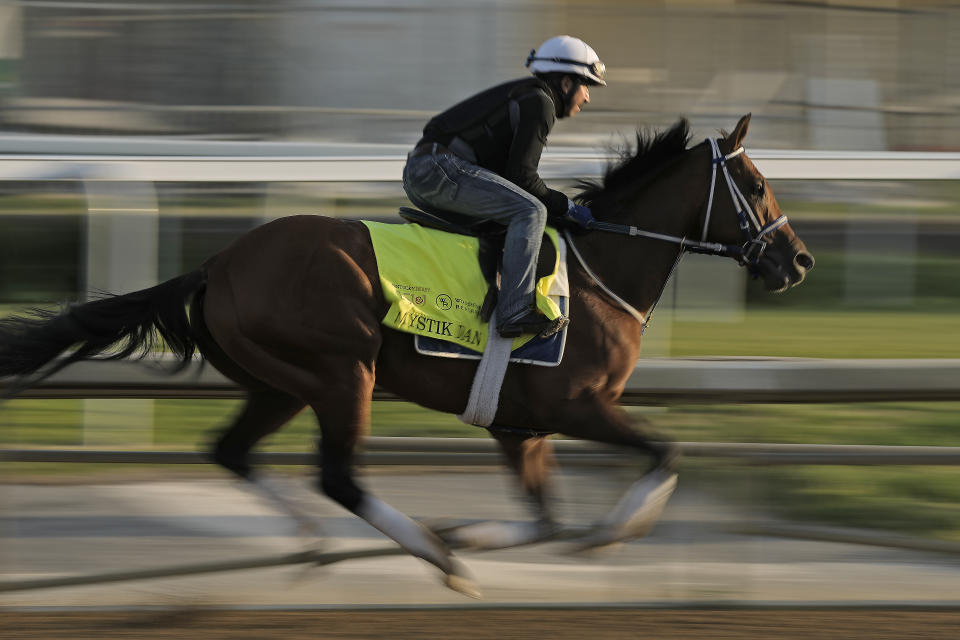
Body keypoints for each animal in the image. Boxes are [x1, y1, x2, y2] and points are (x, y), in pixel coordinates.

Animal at [0, 115, 808, 600]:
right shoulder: (577, 405)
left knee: (231, 451)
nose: (796, 261)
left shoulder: (519, 426)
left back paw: (320, 543)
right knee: (337, 475)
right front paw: (612, 533)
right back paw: (428, 552)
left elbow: (548, 520)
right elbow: (664, 452)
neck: (600, 272)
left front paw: (479, 533)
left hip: (280, 383)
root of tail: (219, 261)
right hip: (340, 371)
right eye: (757, 185)